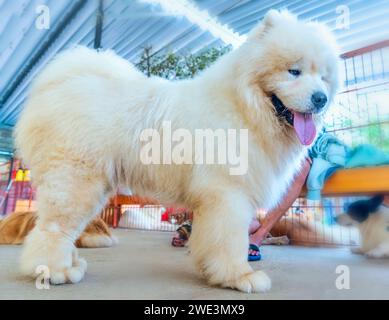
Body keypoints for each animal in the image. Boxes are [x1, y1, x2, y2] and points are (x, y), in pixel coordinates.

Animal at [15, 10, 336, 292]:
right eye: (293, 71)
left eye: (323, 77)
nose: (321, 98)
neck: (244, 108)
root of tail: (60, 83)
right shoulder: (229, 194)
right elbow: (232, 241)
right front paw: (239, 276)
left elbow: (210, 240)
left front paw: (212, 271)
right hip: (76, 180)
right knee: (53, 229)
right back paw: (53, 270)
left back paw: (70, 264)